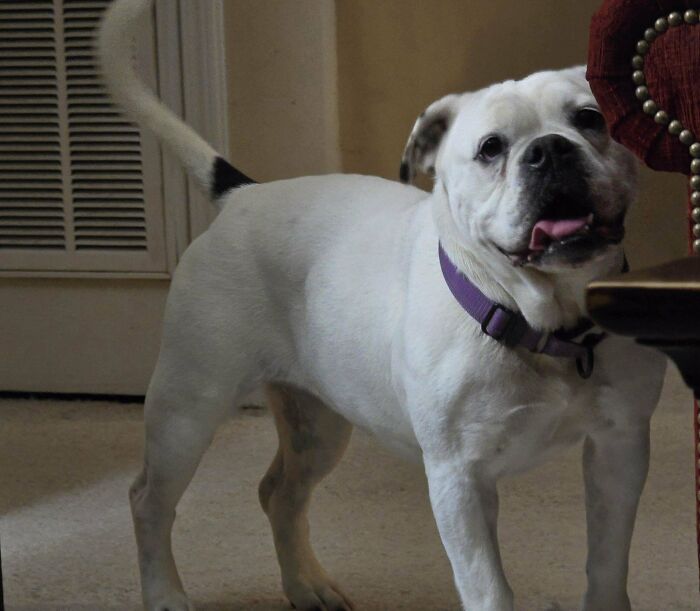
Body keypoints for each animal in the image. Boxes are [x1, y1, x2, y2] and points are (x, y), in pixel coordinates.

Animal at [98, 2, 668, 608]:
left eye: (590, 118)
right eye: (491, 147)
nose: (551, 149)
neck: (540, 321)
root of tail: (242, 194)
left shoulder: (619, 448)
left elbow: (607, 564)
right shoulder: (459, 481)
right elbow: (488, 589)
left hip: (317, 426)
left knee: (279, 494)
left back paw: (307, 585)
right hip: (188, 409)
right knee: (148, 501)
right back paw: (164, 592)